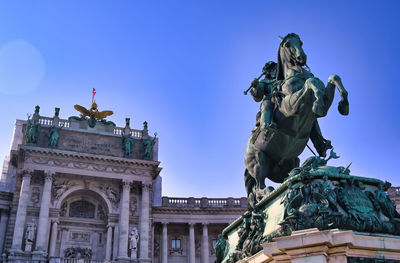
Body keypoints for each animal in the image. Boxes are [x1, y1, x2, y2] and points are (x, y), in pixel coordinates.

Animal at [242, 34, 348, 209]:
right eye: (287, 44)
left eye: (301, 42)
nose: (301, 58)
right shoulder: (291, 106)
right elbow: (311, 83)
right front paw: (318, 103)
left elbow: (332, 78)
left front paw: (343, 105)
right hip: (258, 160)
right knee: (258, 186)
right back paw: (266, 193)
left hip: (290, 161)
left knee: (283, 177)